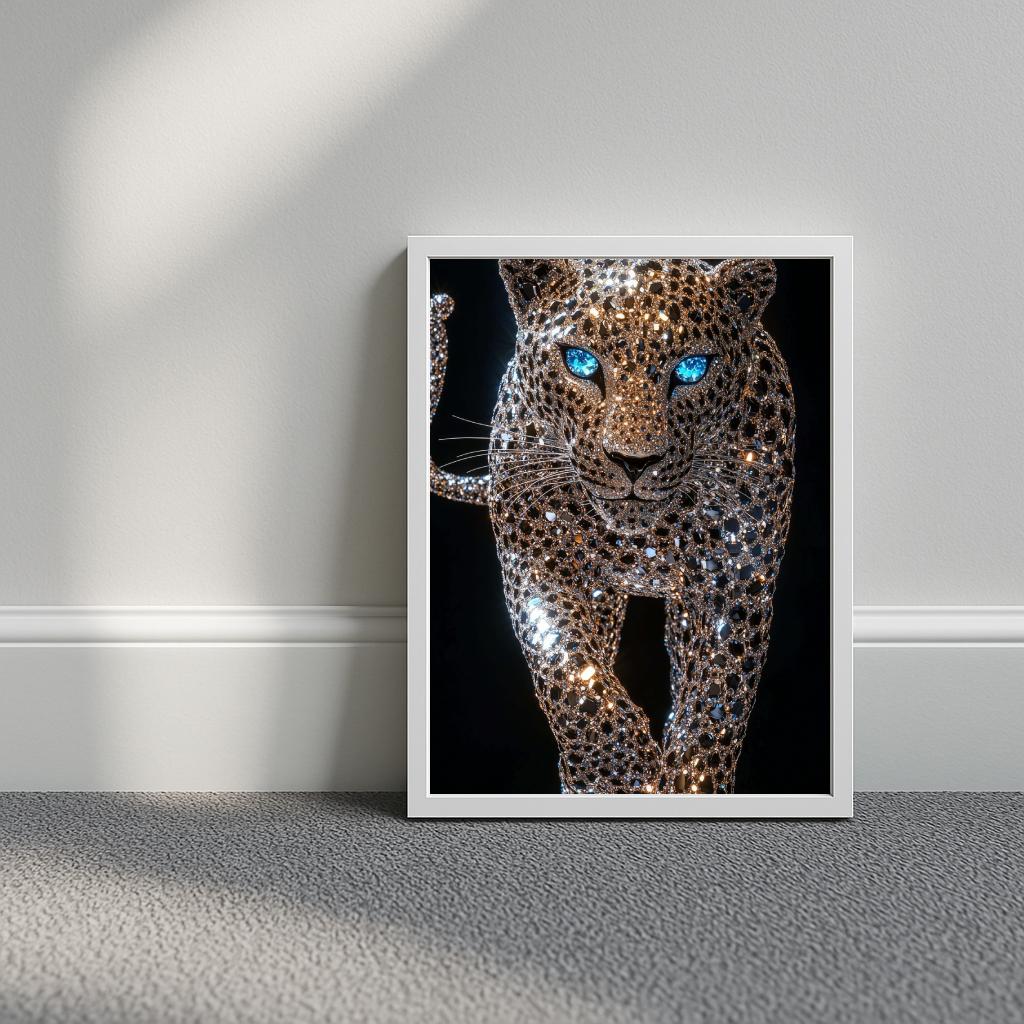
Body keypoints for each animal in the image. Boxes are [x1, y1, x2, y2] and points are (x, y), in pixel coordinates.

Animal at [429, 257, 794, 794]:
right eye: (581, 362)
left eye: (692, 368)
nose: (634, 462)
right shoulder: (533, 558)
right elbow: (565, 668)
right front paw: (620, 773)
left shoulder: (739, 582)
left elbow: (716, 703)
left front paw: (685, 778)